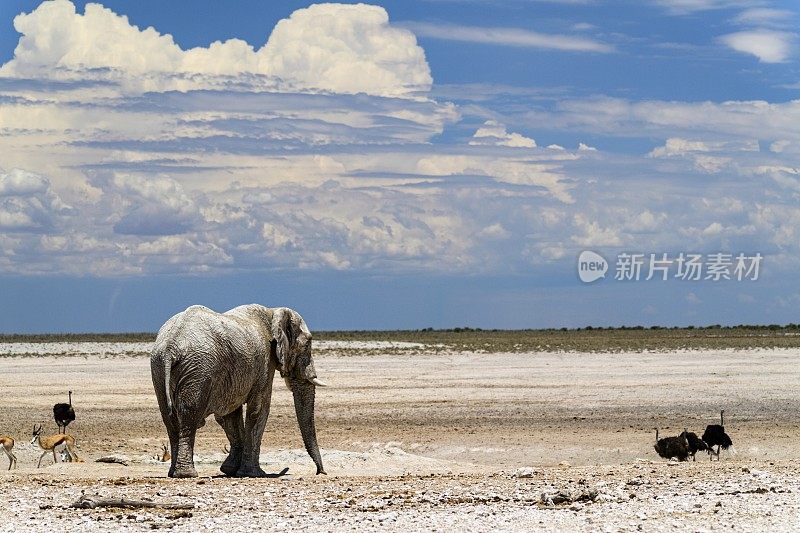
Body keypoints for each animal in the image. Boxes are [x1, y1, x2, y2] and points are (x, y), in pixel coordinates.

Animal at [148, 304, 326, 478]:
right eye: (308, 344)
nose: (320, 472)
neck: (272, 312)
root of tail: (170, 347)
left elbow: (230, 415)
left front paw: (230, 470)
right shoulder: (265, 363)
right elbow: (260, 410)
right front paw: (255, 473)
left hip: (159, 367)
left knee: (170, 420)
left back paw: (173, 473)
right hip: (198, 368)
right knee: (189, 415)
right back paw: (186, 474)